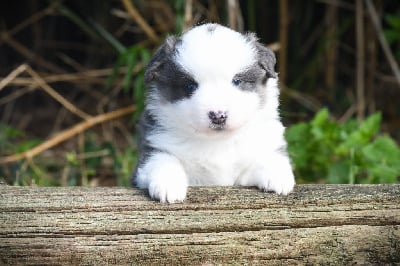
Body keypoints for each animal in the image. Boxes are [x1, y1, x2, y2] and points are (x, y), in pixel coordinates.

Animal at [133, 23, 296, 202]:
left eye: (237, 81)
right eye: (190, 86)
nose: (218, 116)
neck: (216, 142)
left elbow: (269, 157)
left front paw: (277, 177)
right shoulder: (154, 145)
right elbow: (162, 160)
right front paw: (168, 184)